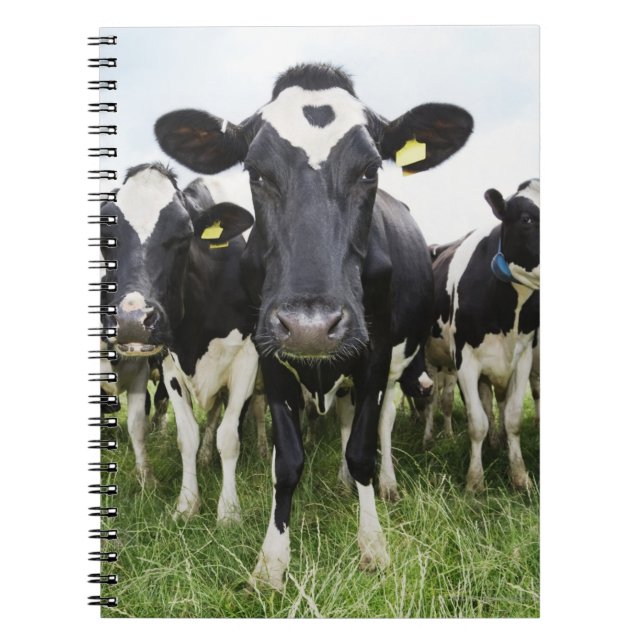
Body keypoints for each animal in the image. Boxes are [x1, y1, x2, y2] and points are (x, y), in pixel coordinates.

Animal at [100, 162, 260, 522]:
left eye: (186, 236)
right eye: (105, 235)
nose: (132, 321)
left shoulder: (247, 359)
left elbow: (230, 436)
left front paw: (229, 511)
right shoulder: (171, 364)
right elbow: (187, 436)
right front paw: (187, 504)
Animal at [155, 62, 473, 589]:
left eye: (370, 170)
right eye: (256, 172)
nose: (310, 326)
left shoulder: (375, 352)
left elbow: (362, 449)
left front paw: (373, 545)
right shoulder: (269, 353)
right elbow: (286, 460)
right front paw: (271, 562)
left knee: (381, 426)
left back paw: (383, 485)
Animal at [427, 179, 540, 492]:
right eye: (526, 219)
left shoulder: (523, 359)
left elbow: (512, 418)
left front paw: (520, 476)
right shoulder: (465, 361)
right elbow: (476, 422)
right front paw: (474, 482)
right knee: (432, 401)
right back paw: (429, 437)